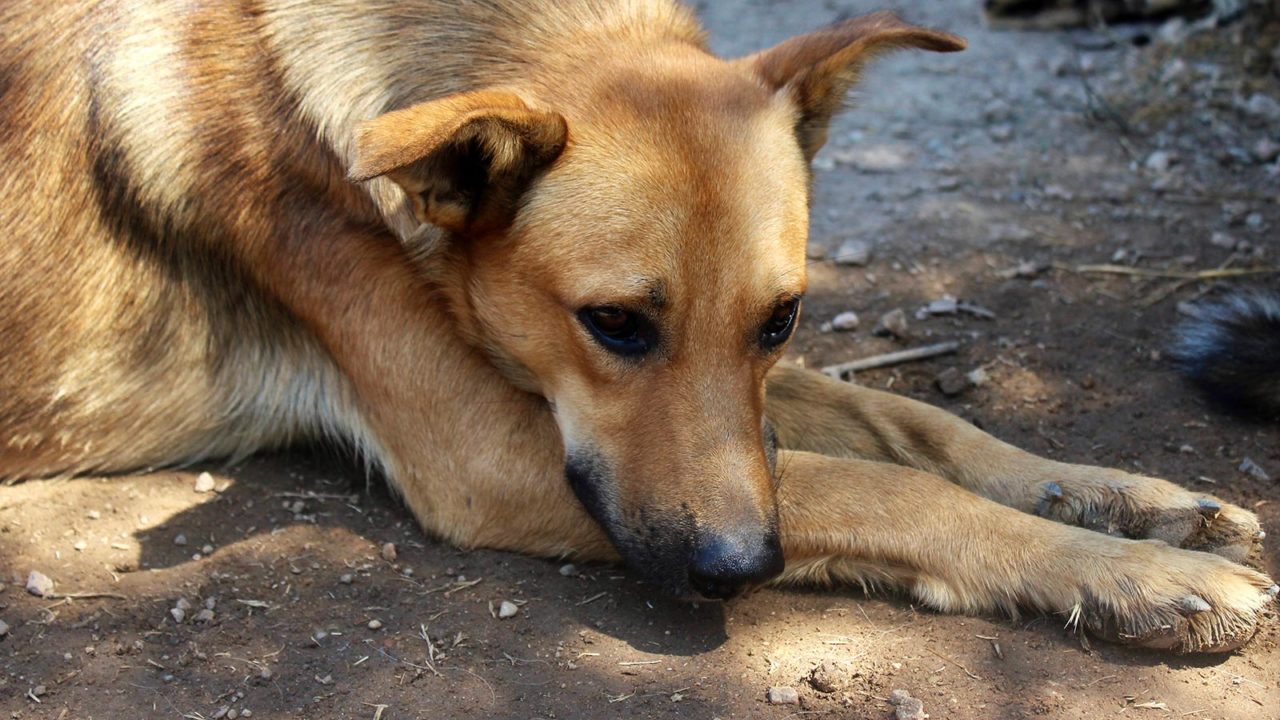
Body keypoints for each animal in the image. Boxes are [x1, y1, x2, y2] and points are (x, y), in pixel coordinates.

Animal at [0, 0, 1274, 650]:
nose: (738, 570)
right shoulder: (489, 456)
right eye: (610, 323)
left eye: (781, 318)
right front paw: (1136, 575)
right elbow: (880, 485)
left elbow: (912, 424)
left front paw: (1126, 501)